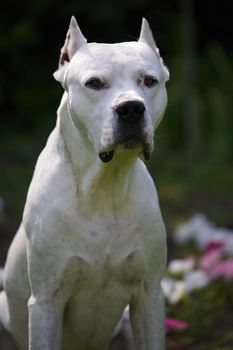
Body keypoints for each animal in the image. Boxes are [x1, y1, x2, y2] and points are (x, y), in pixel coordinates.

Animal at [0, 17, 167, 350]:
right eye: (94, 83)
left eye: (149, 81)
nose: (131, 108)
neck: (104, 188)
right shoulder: (46, 302)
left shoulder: (149, 293)